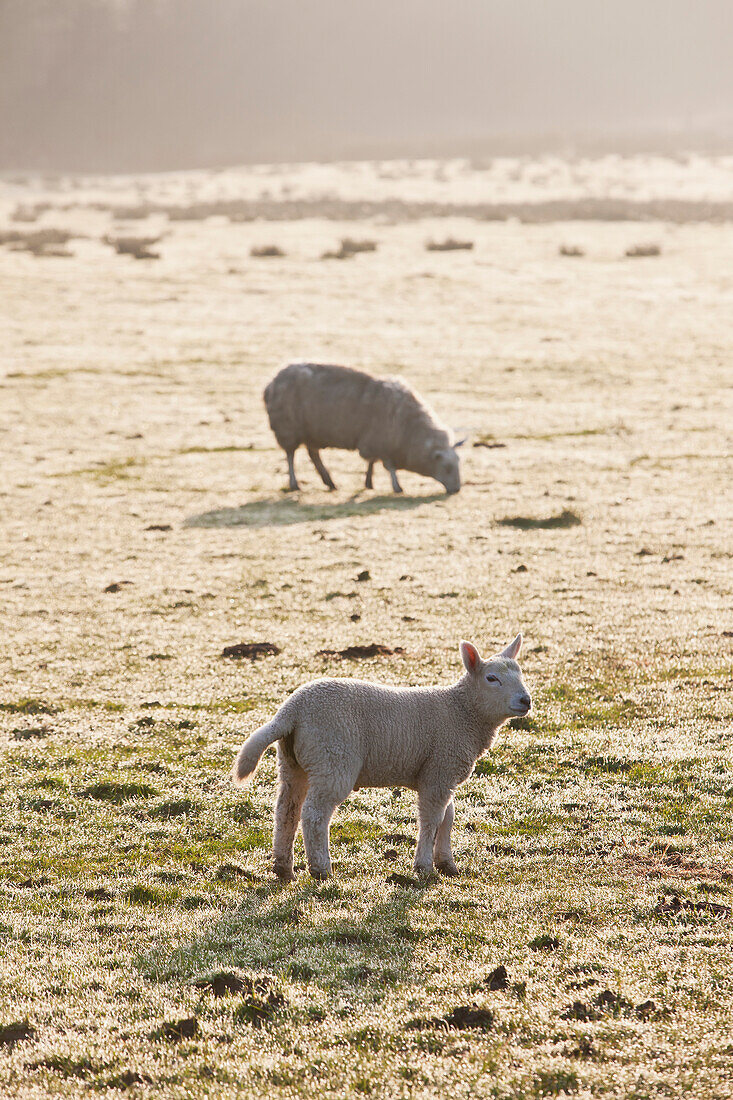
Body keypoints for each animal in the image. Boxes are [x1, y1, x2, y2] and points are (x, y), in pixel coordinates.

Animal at [231, 633, 528, 880]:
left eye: (521, 674)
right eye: (492, 678)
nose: (526, 700)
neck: (462, 712)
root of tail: (291, 709)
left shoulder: (442, 773)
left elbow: (448, 817)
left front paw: (447, 863)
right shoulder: (439, 770)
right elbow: (432, 819)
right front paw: (424, 867)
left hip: (294, 763)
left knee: (286, 811)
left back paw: (283, 868)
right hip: (333, 758)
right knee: (314, 815)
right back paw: (321, 869)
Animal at [260, 360, 462, 495]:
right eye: (447, 467)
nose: (456, 489)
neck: (409, 429)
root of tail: (271, 382)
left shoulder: (372, 440)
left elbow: (371, 462)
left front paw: (369, 482)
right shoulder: (380, 441)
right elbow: (388, 466)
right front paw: (396, 487)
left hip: (311, 432)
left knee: (313, 455)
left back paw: (329, 482)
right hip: (288, 428)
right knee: (290, 455)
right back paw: (294, 483)